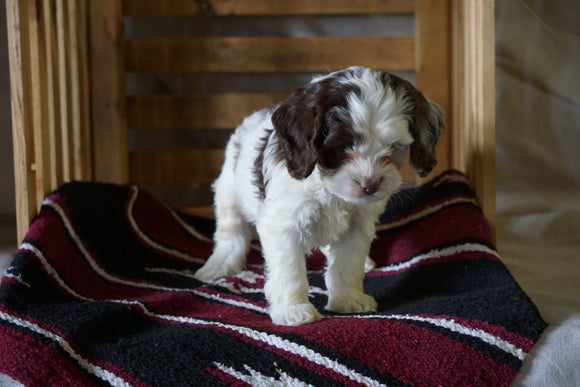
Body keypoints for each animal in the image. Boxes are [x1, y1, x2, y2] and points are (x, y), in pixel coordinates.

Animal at [195, 67, 444, 328]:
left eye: (393, 147)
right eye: (342, 147)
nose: (370, 185)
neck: (327, 186)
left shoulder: (357, 226)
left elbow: (347, 264)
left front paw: (348, 300)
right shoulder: (283, 225)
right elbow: (290, 270)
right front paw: (293, 310)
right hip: (229, 189)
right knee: (231, 230)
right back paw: (220, 264)